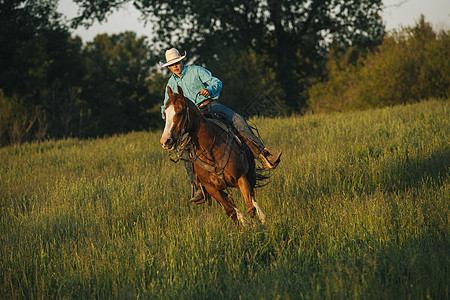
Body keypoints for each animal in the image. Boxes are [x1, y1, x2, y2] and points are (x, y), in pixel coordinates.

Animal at [159, 85, 268, 226]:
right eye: (165, 113)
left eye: (180, 112)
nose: (165, 141)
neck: (210, 150)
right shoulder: (212, 189)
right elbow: (230, 211)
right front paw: (243, 226)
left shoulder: (241, 178)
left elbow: (250, 207)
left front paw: (257, 227)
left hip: (250, 174)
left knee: (253, 195)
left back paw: (262, 217)